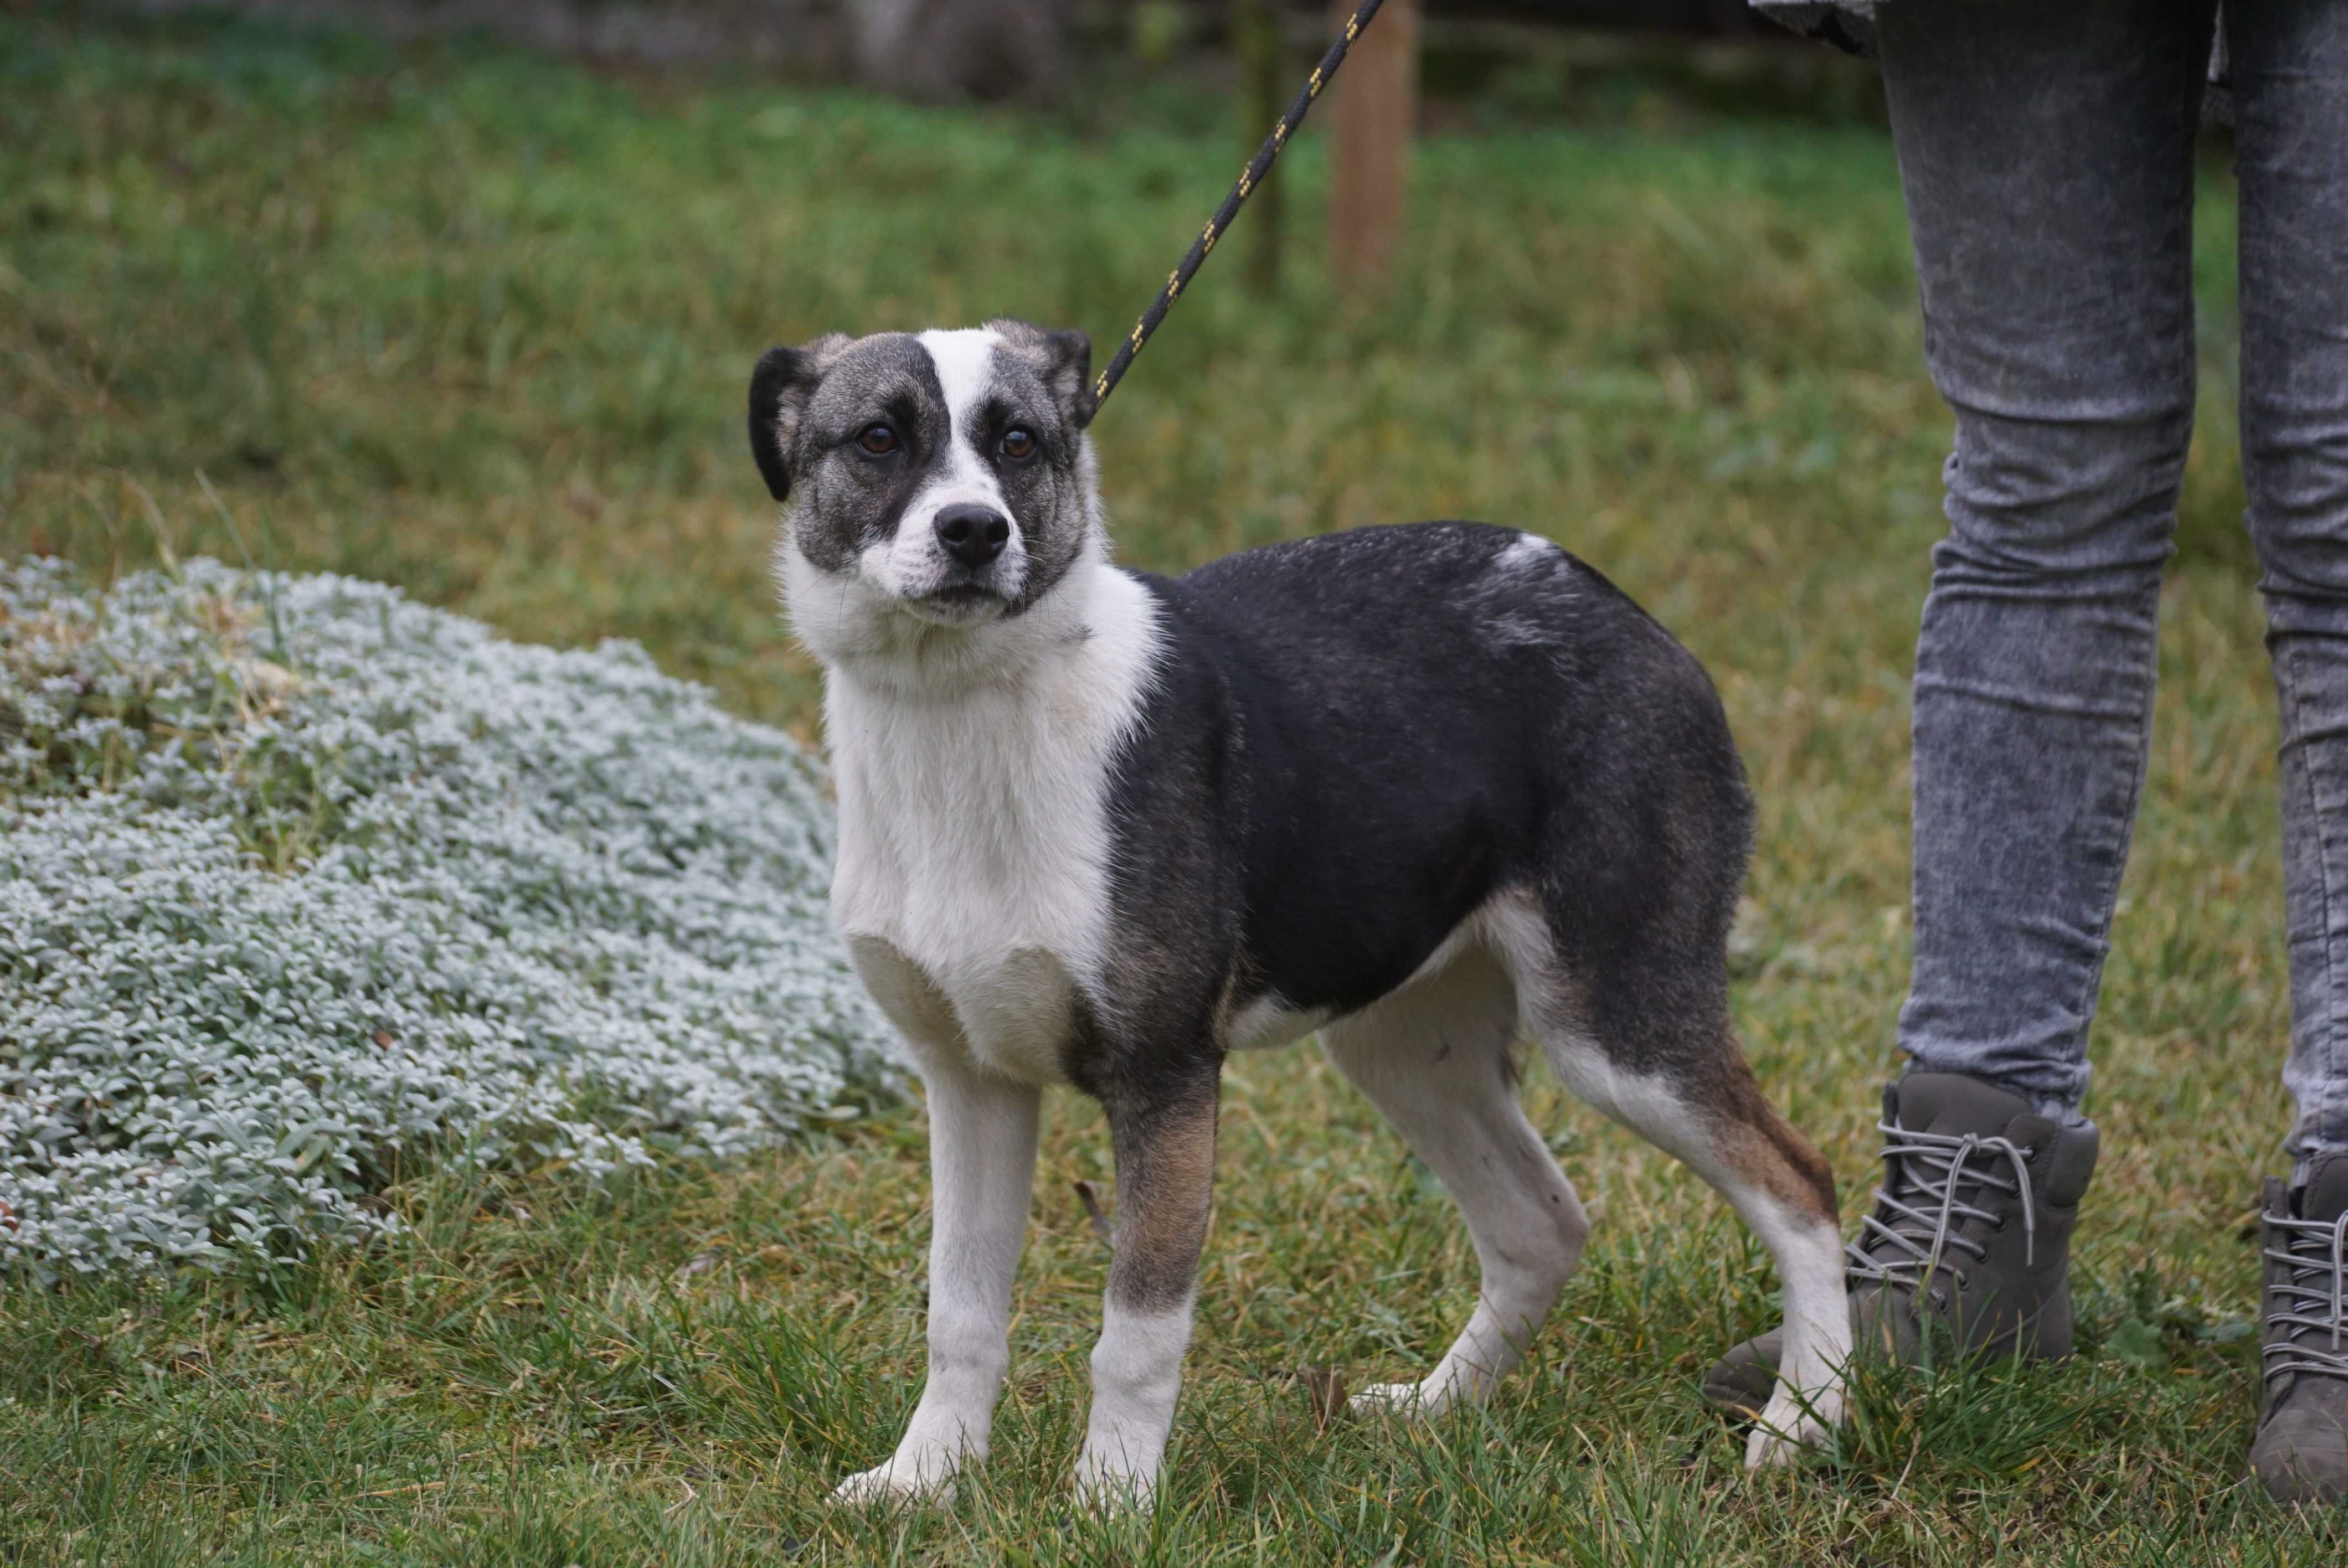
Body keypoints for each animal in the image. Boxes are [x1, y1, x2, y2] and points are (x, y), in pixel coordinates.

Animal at [751, 319, 1850, 1502]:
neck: (965, 714)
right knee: (1541, 1223)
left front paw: (1110, 1504)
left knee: (1802, 1186)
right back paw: (1437, 1410)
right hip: (1406, 1045)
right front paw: (924, 1482)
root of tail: (1617, 606)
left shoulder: (1167, 1079)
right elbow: (958, 1311)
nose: (973, 531)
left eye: (1018, 442)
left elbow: (1136, 1332)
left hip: (1618, 1028)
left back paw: (1803, 1425)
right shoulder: (970, 1080)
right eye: (877, 438)